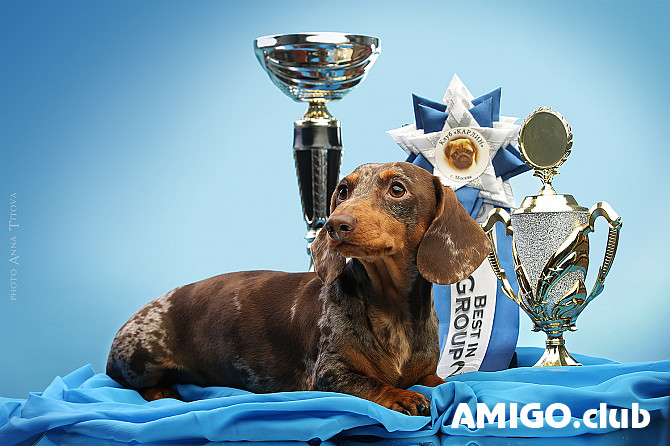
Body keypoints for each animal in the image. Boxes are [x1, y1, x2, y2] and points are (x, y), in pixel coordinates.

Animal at [106, 162, 494, 416]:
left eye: (397, 189)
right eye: (343, 190)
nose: (336, 225)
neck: (390, 308)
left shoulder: (426, 372)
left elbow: (441, 380)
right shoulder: (329, 374)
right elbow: (372, 384)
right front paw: (400, 395)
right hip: (140, 363)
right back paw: (164, 392)